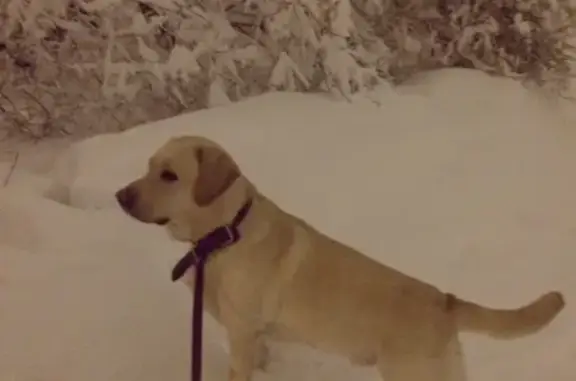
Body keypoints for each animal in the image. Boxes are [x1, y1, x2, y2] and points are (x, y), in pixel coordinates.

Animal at [115, 135, 564, 380]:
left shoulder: (242, 333)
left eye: (169, 175)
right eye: (148, 167)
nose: (120, 196)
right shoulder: (257, 339)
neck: (225, 233)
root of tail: (446, 301)